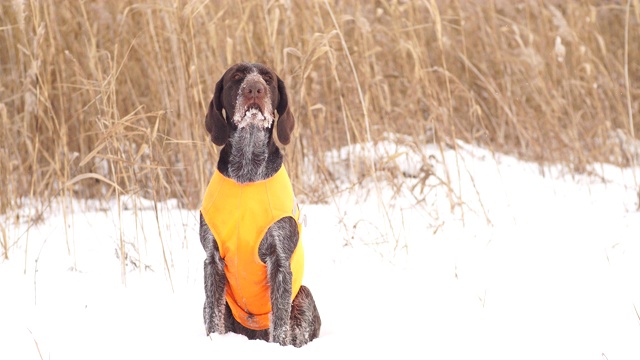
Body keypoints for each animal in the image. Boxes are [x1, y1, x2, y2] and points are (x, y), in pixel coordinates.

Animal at [200, 63, 320, 348]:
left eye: (267, 78)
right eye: (236, 77)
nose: (254, 88)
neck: (247, 170)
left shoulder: (280, 260)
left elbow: (280, 324)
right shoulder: (211, 259)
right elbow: (213, 317)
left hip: (305, 295)